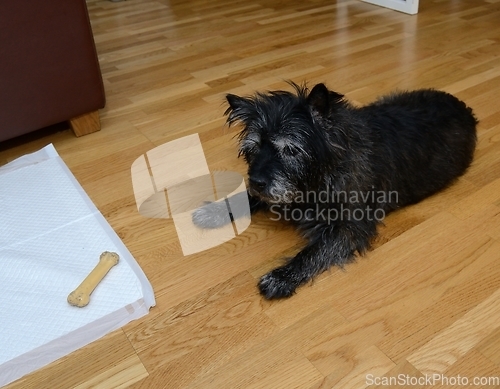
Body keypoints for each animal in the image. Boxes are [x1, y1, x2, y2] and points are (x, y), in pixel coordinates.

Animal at [197, 82, 478, 298]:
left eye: (290, 149)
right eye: (253, 147)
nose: (256, 180)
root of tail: (464, 107)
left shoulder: (350, 227)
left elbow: (315, 251)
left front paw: (281, 277)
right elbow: (241, 198)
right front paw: (213, 211)